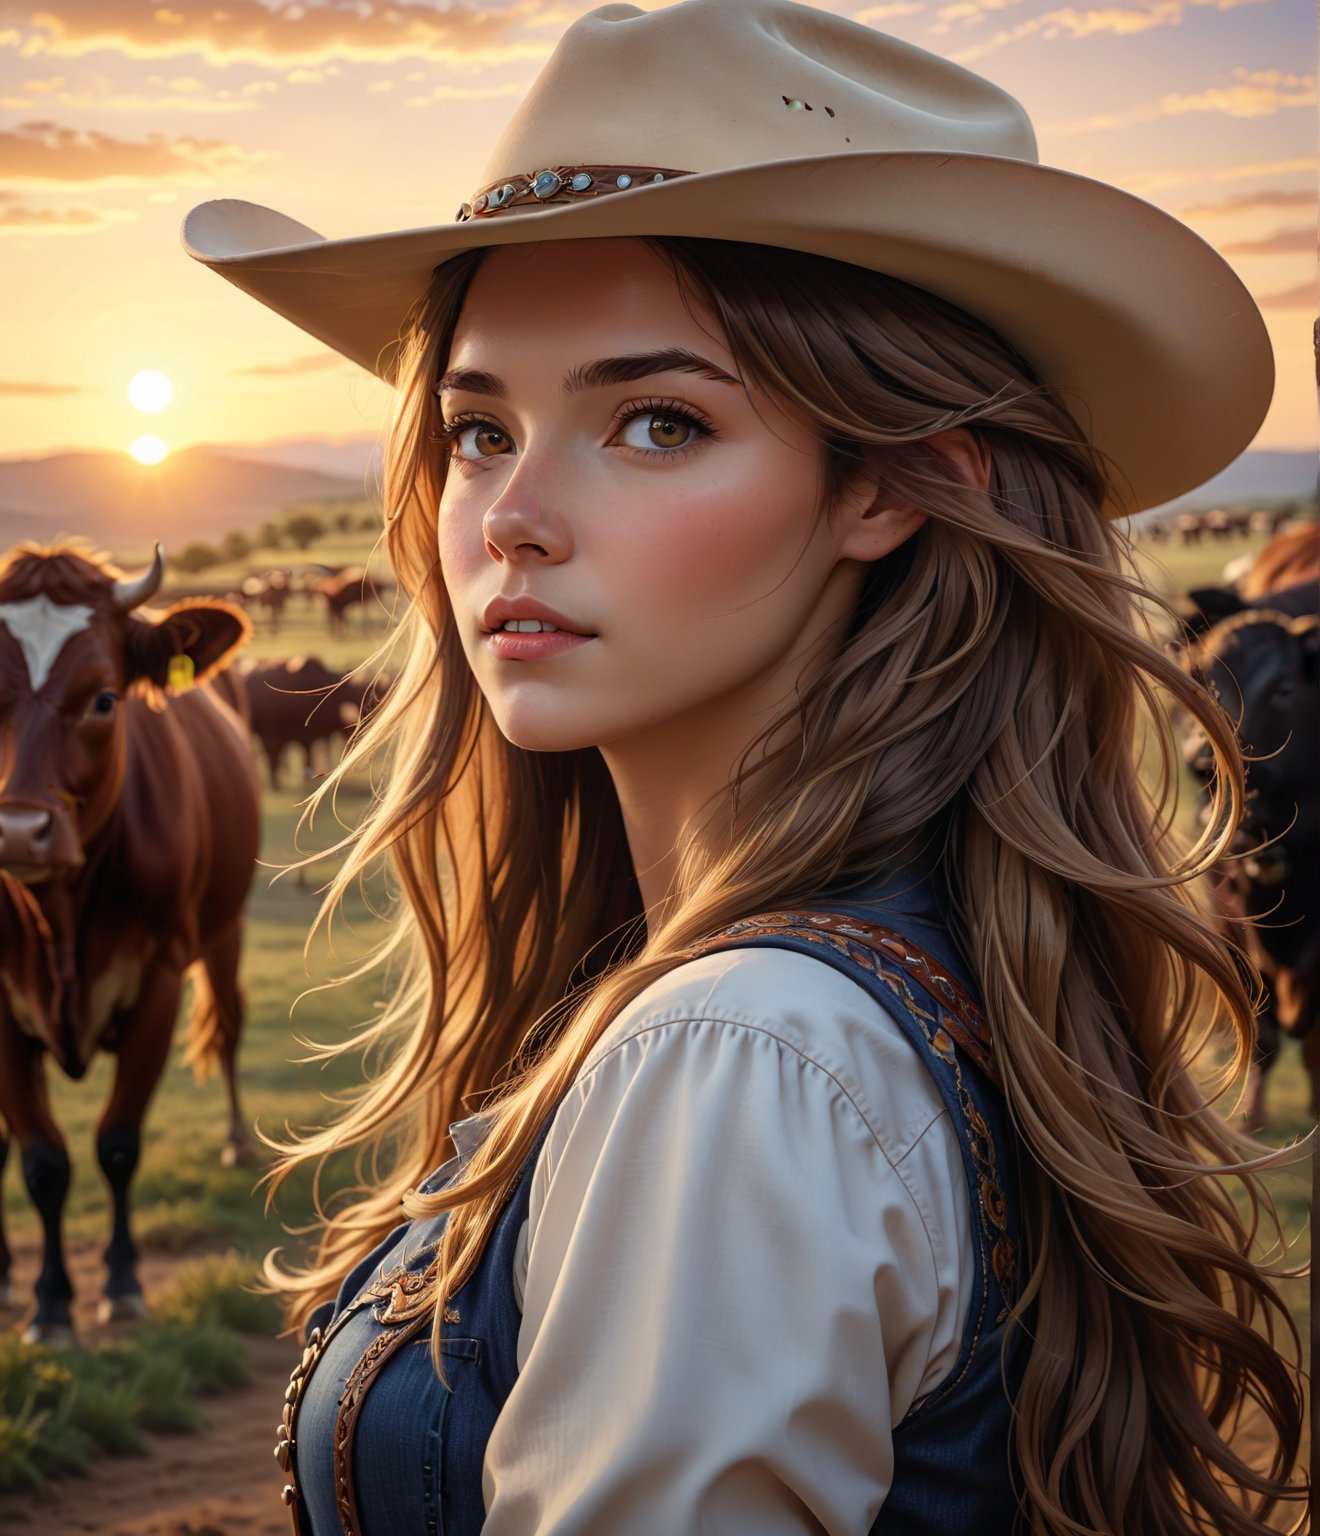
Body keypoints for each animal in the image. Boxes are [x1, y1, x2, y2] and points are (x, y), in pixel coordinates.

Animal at [0, 543, 261, 1345]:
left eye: (105, 699)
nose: (18, 831)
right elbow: (40, 1161)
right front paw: (50, 1303)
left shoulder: (158, 983)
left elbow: (116, 1143)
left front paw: (120, 1283)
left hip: (226, 933)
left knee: (229, 1027)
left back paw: (237, 1140)